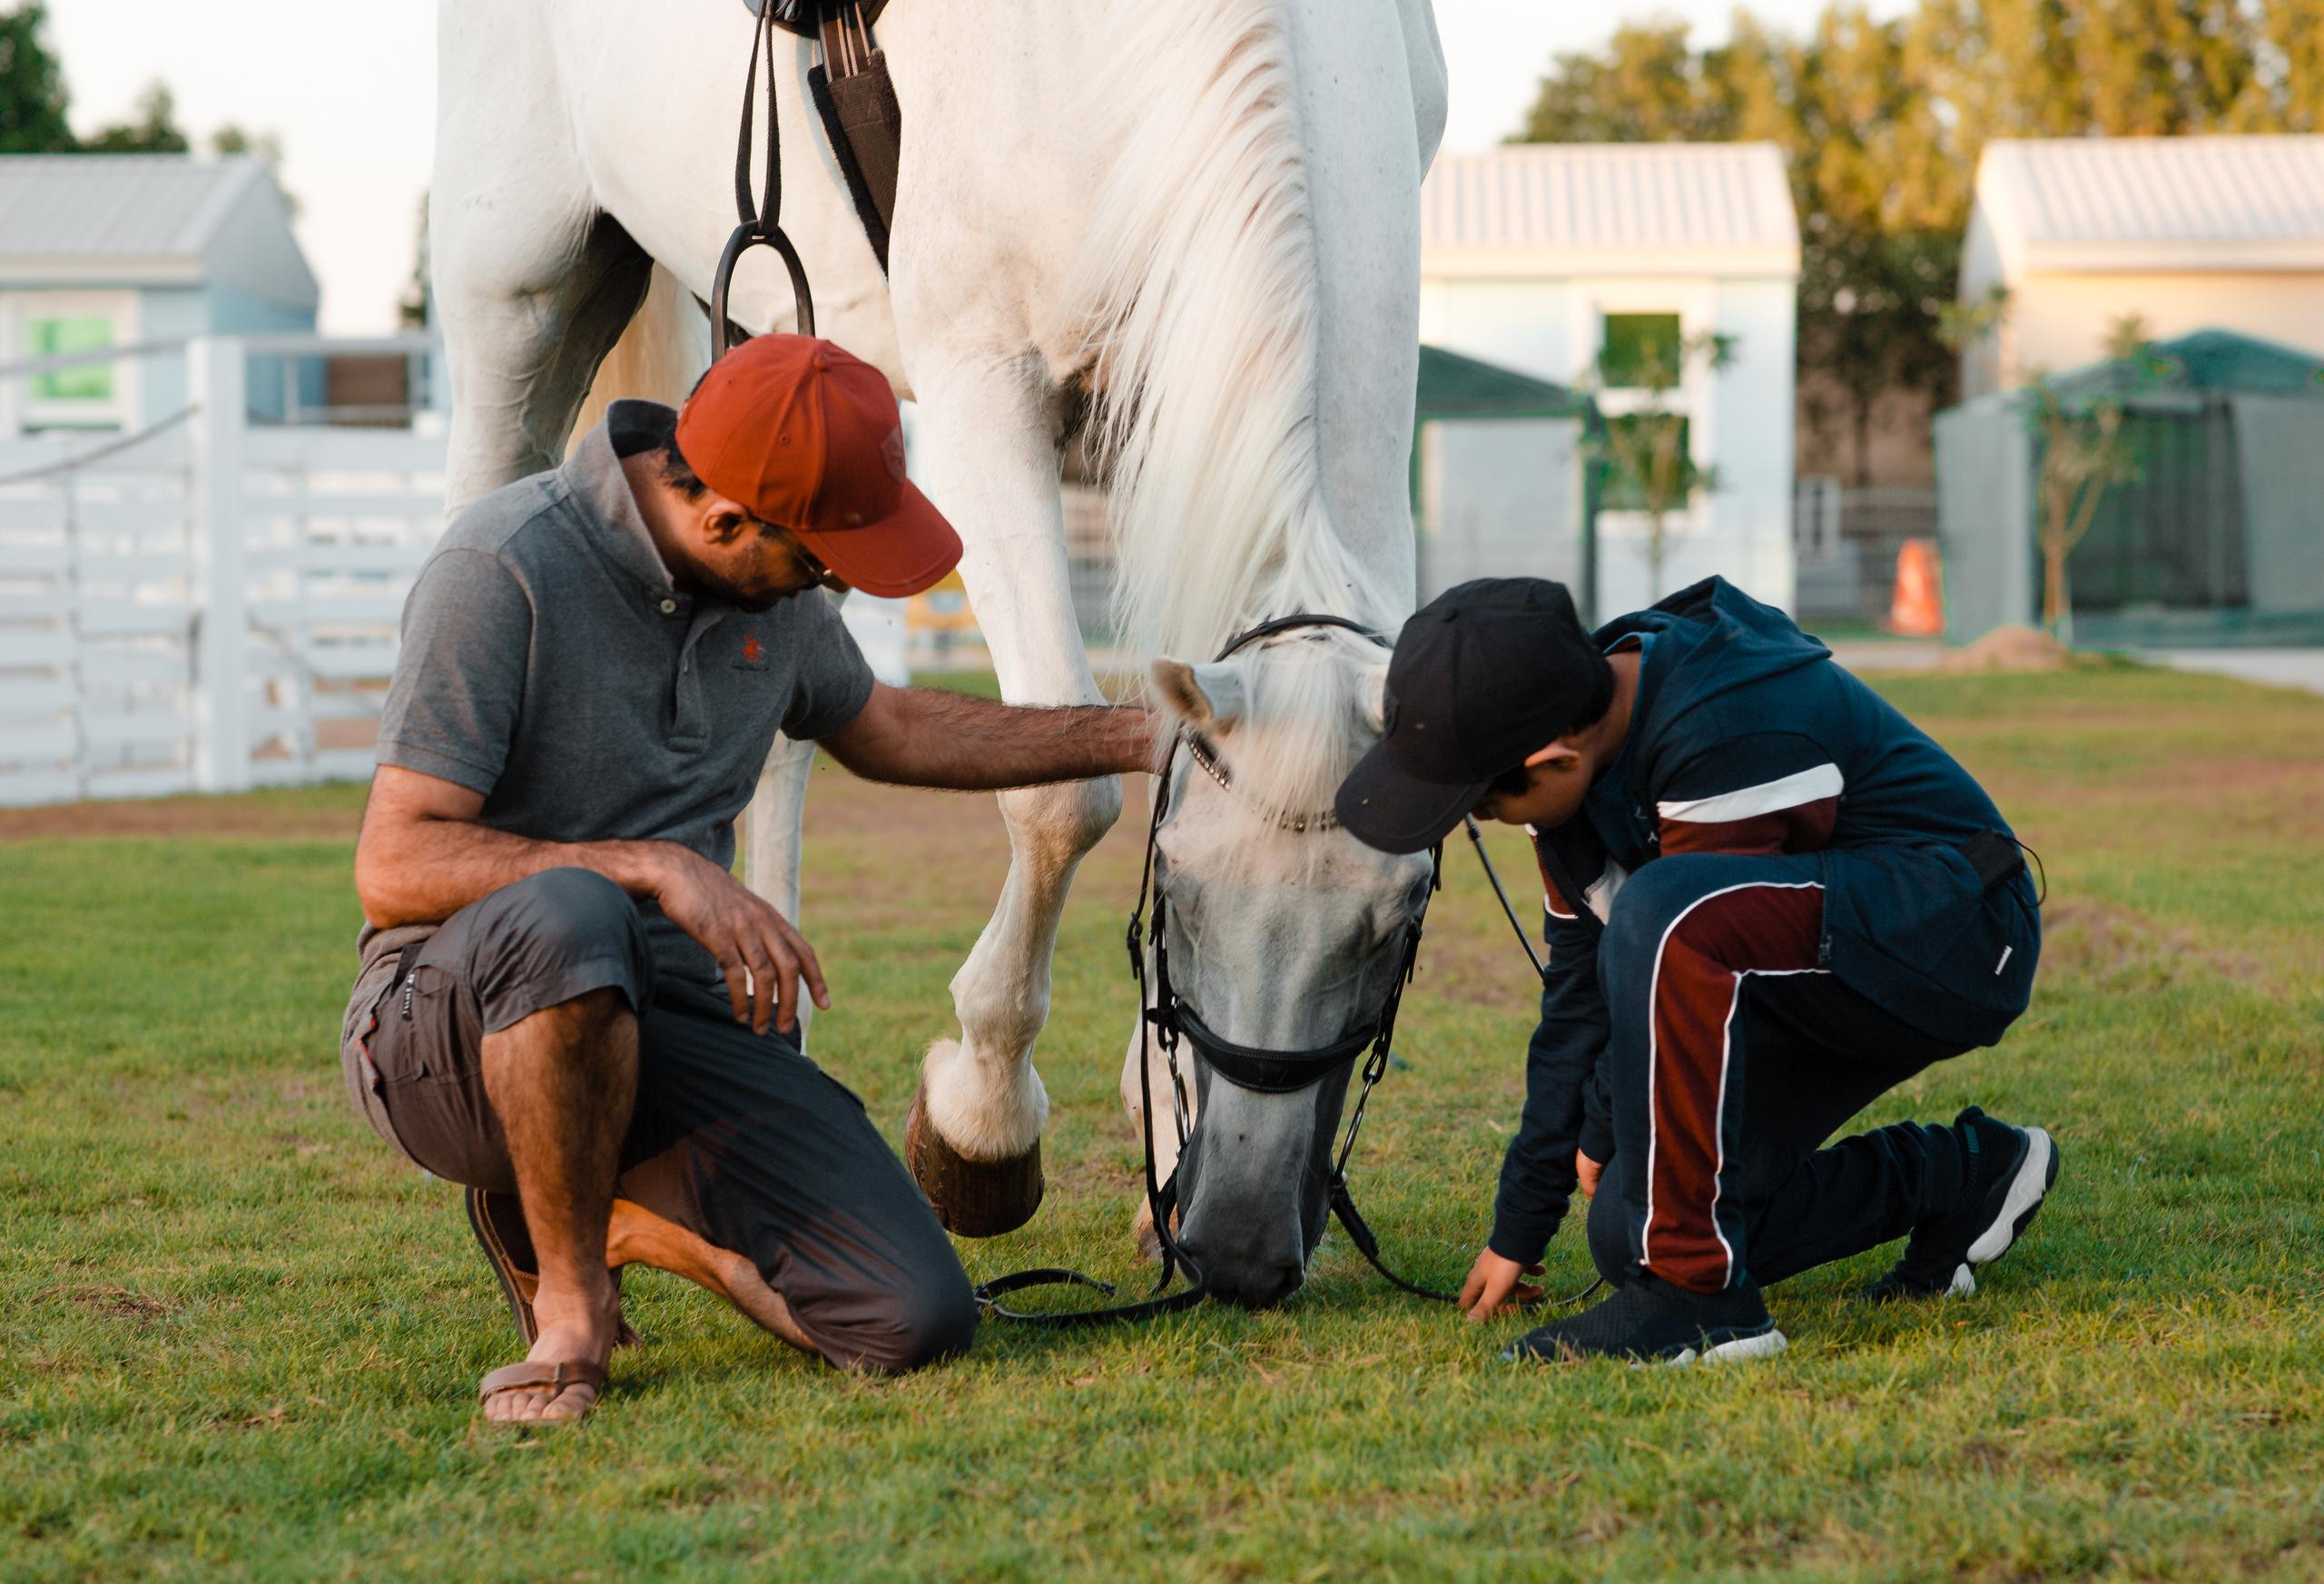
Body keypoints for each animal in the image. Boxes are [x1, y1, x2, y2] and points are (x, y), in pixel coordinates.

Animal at [430, 0, 1449, 1306]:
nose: (1240, 1242)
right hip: (518, 291)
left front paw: (1156, 1139)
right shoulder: (982, 395)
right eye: (1181, 892)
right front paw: (983, 1125)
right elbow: (1065, 797)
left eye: (1401, 919)